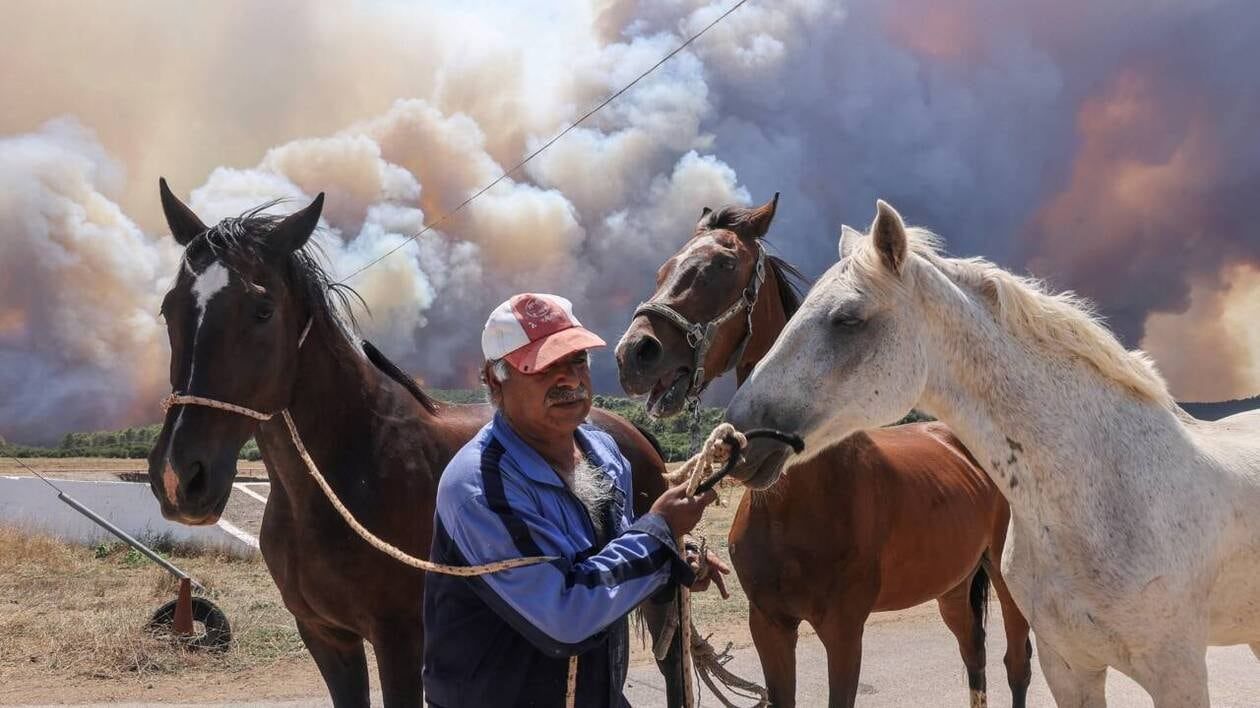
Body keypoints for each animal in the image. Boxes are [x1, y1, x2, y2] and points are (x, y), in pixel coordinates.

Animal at [148, 181, 695, 705]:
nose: (179, 477)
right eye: (168, 309)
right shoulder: (326, 637)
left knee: (673, 670)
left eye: (262, 311)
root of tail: (632, 431)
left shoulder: (400, 641)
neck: (350, 471)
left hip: (663, 595)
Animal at [612, 194, 1033, 705]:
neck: (797, 501)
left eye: (723, 264)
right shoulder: (768, 625)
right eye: (664, 268)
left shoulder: (843, 631)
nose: (634, 353)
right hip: (952, 585)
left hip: (1006, 580)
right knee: (973, 652)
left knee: (1016, 664)